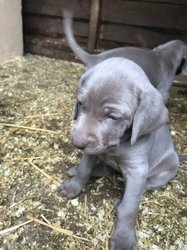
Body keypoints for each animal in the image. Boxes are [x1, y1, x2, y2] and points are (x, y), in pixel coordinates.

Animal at [60, 57, 180, 249]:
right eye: (81, 104)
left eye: (113, 117)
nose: (76, 143)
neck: (116, 145)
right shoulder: (91, 151)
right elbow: (84, 170)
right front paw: (74, 186)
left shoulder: (137, 170)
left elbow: (130, 208)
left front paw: (124, 238)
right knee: (105, 168)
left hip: (166, 171)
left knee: (145, 186)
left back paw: (121, 198)